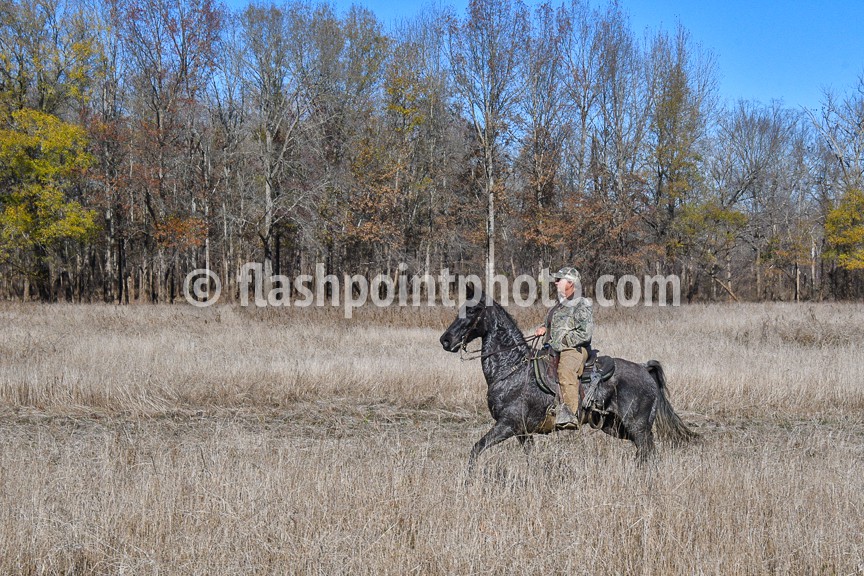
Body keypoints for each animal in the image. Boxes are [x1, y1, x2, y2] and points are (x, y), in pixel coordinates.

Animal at [439, 295, 696, 473]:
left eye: (472, 310)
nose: (445, 340)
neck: (512, 368)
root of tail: (644, 369)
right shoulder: (523, 432)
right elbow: (530, 459)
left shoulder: (507, 425)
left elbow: (476, 449)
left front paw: (469, 479)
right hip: (615, 427)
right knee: (645, 453)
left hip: (638, 427)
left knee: (648, 453)